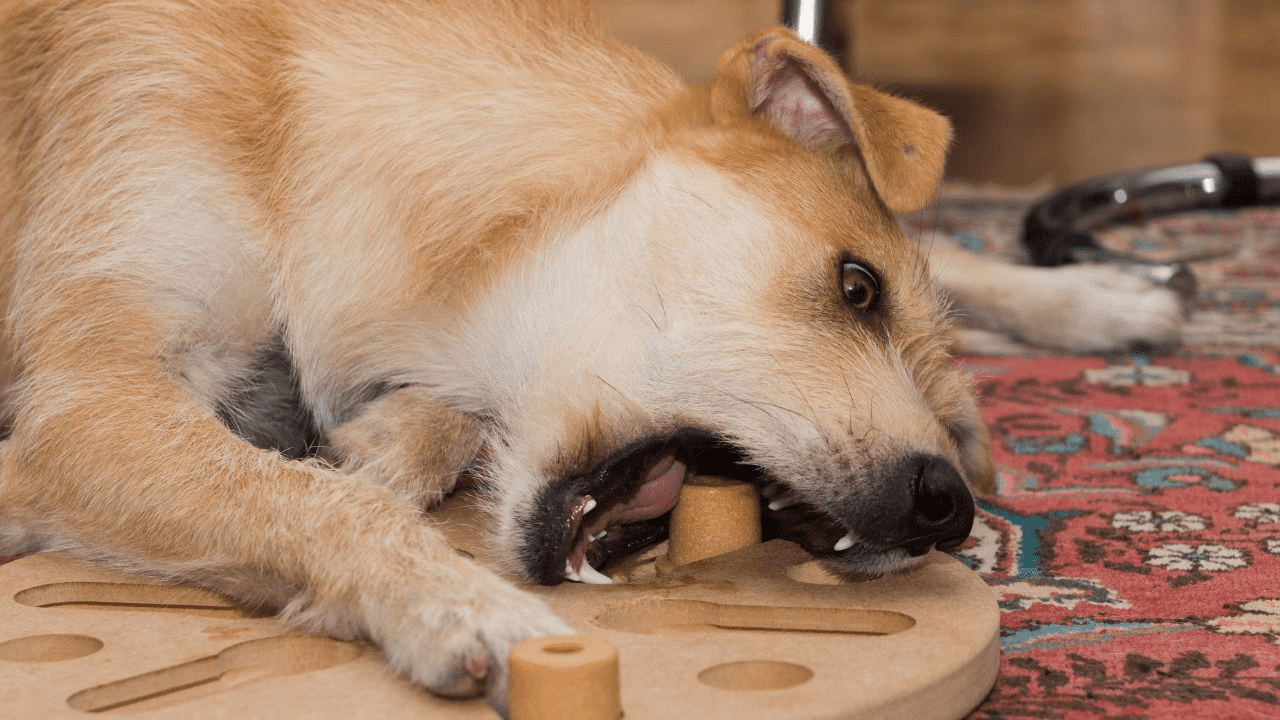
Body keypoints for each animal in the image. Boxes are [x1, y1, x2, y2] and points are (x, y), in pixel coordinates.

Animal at [0, 0, 1008, 707]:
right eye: (858, 286)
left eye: (954, 424)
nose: (950, 509)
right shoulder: (91, 401)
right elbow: (320, 503)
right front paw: (459, 602)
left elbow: (366, 468)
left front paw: (385, 445)